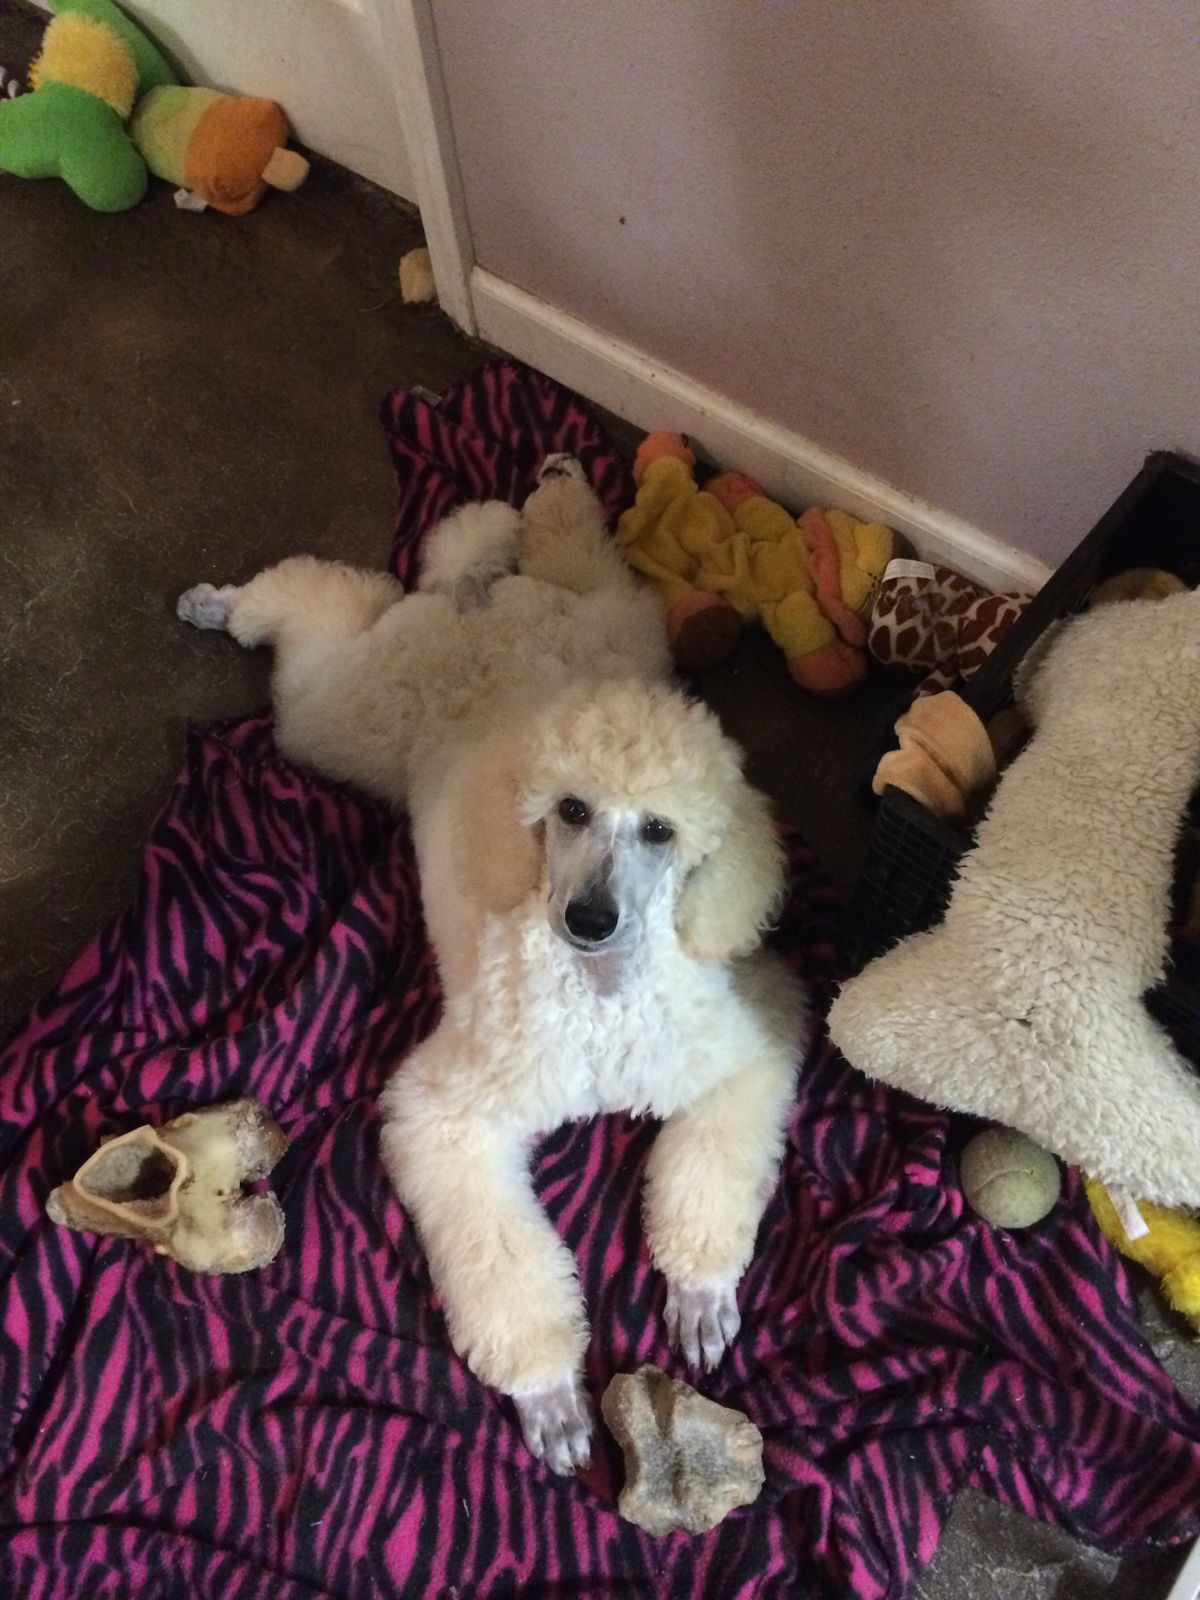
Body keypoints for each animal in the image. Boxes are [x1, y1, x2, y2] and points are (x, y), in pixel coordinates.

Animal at [178, 460, 811, 1472]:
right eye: (570, 811)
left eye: (661, 830)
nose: (589, 918)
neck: (601, 997)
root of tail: (486, 608)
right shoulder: (445, 1118)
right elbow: (503, 1260)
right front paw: (548, 1393)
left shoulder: (748, 1048)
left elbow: (711, 1171)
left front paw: (701, 1292)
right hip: (347, 715)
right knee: (320, 615)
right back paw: (223, 602)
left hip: (619, 626)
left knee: (572, 551)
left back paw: (554, 489)